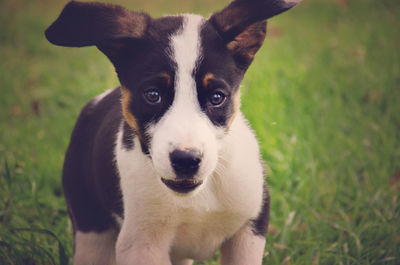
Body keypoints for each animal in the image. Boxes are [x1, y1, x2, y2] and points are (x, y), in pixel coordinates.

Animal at [44, 1, 300, 262]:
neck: (199, 195)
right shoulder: (141, 243)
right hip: (90, 230)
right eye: (152, 95)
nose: (186, 160)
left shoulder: (250, 227)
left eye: (217, 97)